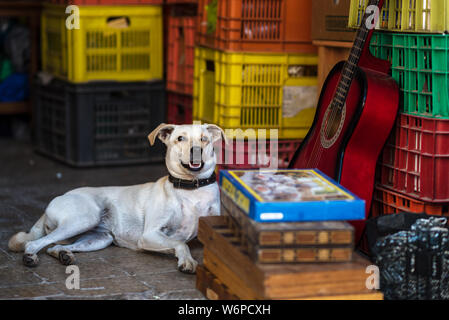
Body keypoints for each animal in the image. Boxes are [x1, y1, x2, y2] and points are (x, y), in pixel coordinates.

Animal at [9, 124, 228, 274]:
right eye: (180, 138)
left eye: (204, 139)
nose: (196, 151)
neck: (192, 189)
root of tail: (59, 197)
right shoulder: (149, 235)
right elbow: (181, 244)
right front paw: (187, 261)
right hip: (83, 219)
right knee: (35, 244)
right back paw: (30, 257)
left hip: (99, 238)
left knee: (54, 247)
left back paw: (65, 255)